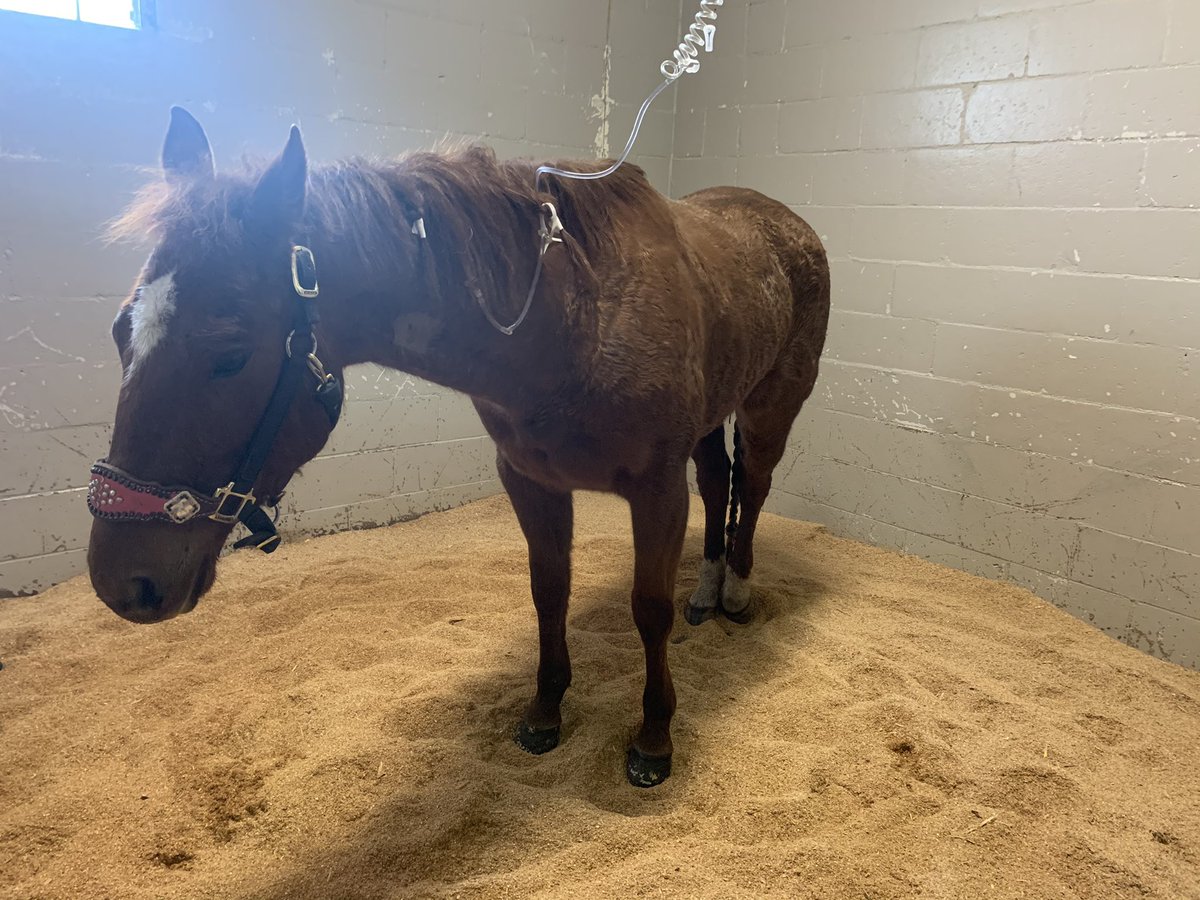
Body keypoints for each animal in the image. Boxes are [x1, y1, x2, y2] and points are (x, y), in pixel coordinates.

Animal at [86, 107, 830, 787]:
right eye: (121, 331)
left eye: (231, 353)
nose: (122, 584)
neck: (574, 320)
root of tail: (786, 224)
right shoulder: (531, 480)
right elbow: (548, 591)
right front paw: (545, 711)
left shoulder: (656, 489)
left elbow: (649, 610)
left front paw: (652, 739)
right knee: (719, 479)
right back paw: (706, 592)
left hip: (770, 408)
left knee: (752, 485)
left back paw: (736, 593)